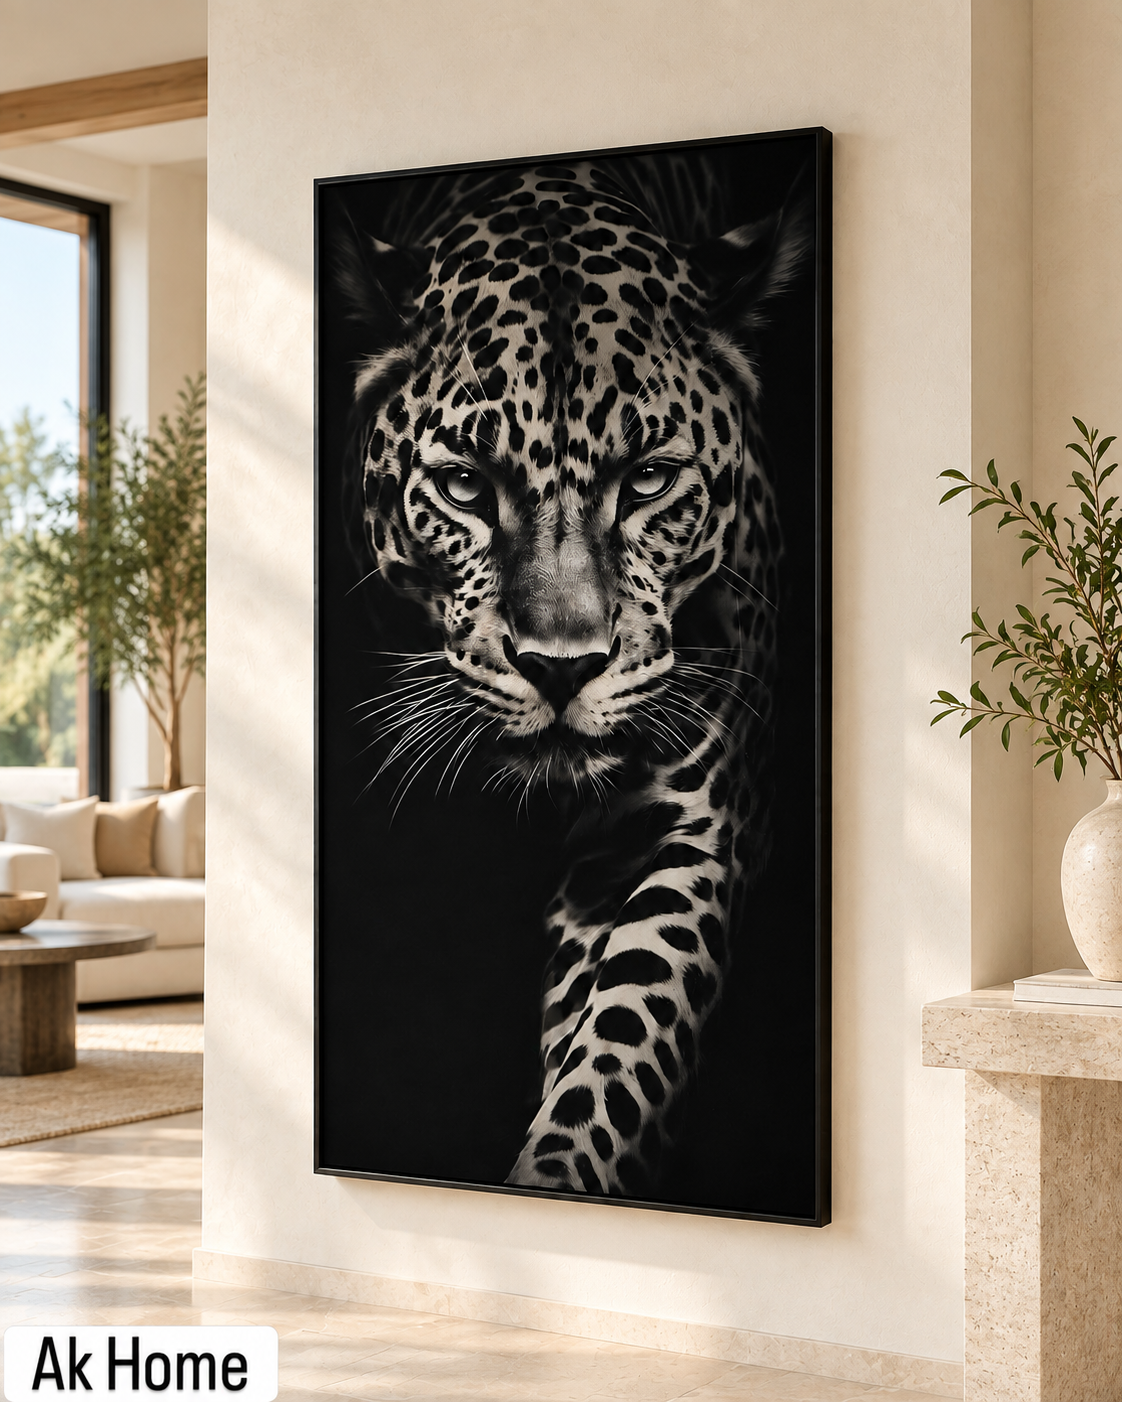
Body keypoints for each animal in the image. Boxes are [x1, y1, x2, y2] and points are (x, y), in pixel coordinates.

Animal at [338, 152, 808, 1198]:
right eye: (465, 486)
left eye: (649, 480)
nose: (563, 670)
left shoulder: (681, 834)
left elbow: (619, 1048)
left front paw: (554, 1175)